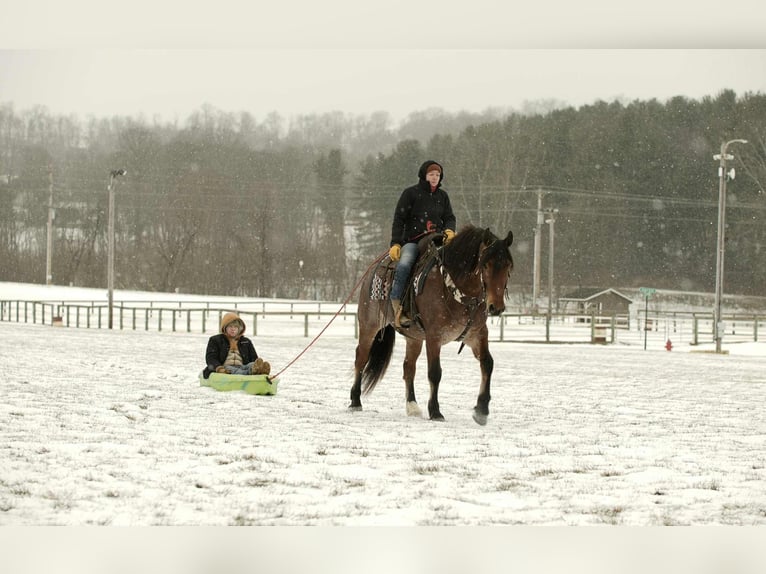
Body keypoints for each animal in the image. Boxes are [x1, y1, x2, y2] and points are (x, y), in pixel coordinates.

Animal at [349, 224, 514, 425]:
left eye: (508, 266)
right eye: (486, 264)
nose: (496, 307)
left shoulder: (477, 334)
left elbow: (487, 364)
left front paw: (482, 410)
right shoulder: (434, 337)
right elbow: (435, 372)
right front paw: (435, 411)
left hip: (414, 338)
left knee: (408, 367)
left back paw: (412, 406)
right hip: (369, 326)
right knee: (361, 359)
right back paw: (355, 401)